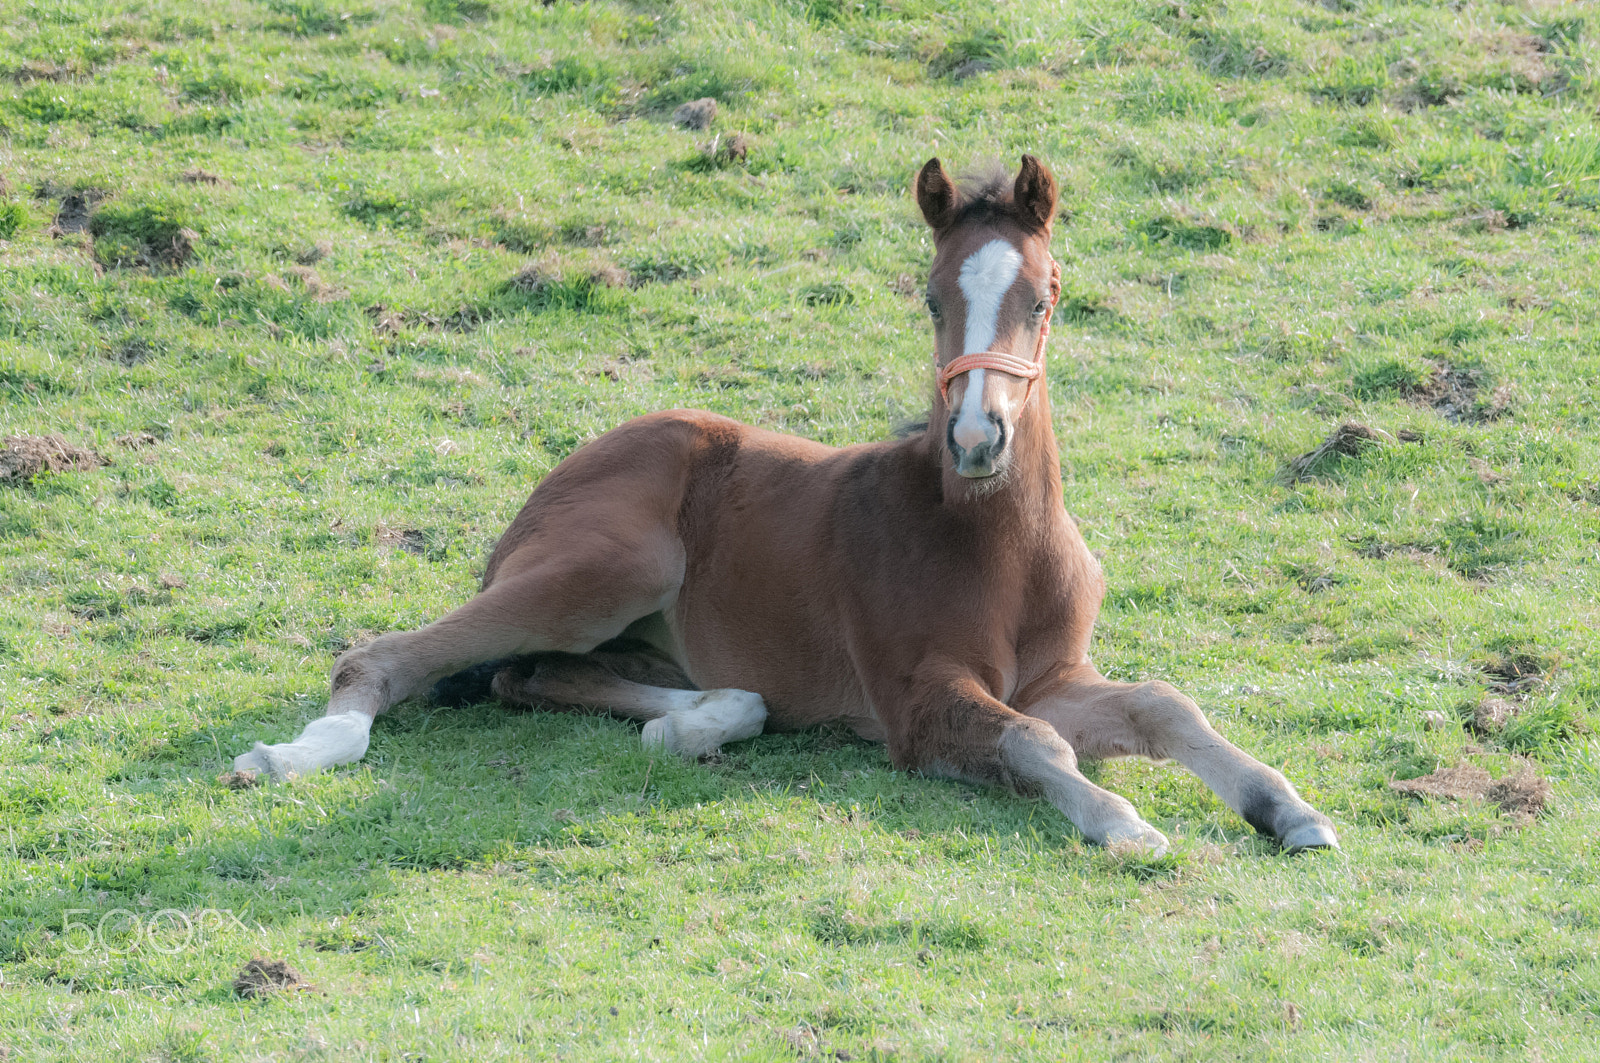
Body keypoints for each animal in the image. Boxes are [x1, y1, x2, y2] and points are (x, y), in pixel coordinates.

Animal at [233, 155, 1338, 856]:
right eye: (932, 296)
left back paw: (698, 722)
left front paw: (1288, 811)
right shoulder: (915, 703)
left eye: (1045, 294)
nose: (978, 439)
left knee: (537, 675)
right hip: (610, 566)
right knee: (386, 658)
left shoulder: (1051, 675)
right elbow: (1035, 744)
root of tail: (552, 482)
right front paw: (1123, 823)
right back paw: (285, 756)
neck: (995, 540)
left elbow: (1161, 702)